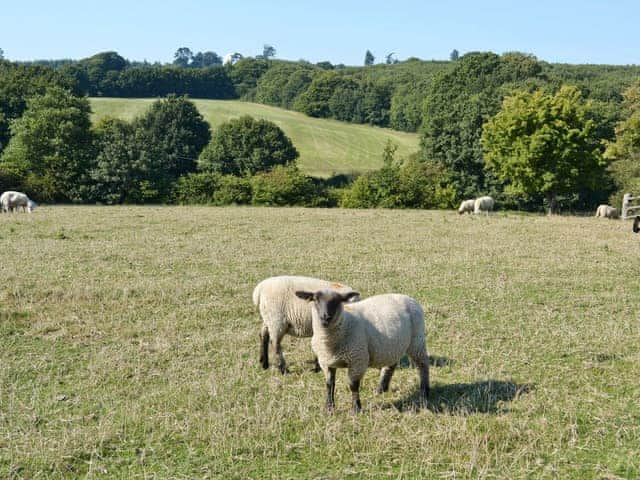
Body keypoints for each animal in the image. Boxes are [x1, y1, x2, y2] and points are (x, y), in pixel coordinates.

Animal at [296, 288, 430, 412]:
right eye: (315, 299)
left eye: (337, 300)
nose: (325, 317)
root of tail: (408, 297)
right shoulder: (326, 362)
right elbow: (329, 384)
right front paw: (329, 407)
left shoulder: (357, 359)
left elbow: (353, 386)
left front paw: (356, 408)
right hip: (393, 345)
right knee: (391, 365)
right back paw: (381, 388)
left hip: (417, 340)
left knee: (423, 364)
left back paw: (424, 391)